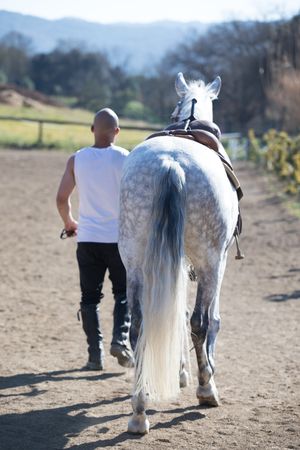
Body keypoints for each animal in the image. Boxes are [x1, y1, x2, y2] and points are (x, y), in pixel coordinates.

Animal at [118, 72, 238, 434]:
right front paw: (200, 376)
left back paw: (139, 411)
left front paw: (180, 372)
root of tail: (172, 163)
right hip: (211, 259)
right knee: (200, 322)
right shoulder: (216, 262)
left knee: (140, 324)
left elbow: (175, 309)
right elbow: (209, 320)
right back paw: (206, 389)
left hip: (135, 259)